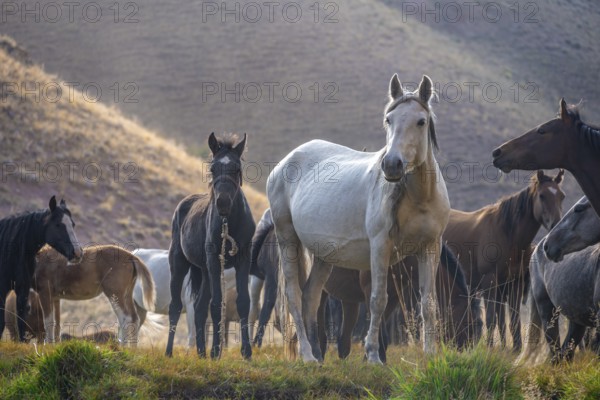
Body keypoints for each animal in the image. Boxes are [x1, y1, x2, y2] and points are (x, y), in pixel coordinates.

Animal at [166, 132, 255, 360]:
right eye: (213, 168)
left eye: (237, 169)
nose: (223, 203)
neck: (229, 223)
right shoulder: (215, 262)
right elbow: (216, 305)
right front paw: (216, 351)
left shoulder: (243, 260)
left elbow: (243, 302)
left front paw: (246, 351)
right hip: (179, 265)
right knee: (175, 307)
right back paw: (170, 352)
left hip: (204, 271)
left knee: (198, 309)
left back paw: (201, 353)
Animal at [268, 74, 450, 362]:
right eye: (389, 119)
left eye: (421, 121)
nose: (391, 165)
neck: (420, 198)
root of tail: (285, 162)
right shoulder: (380, 247)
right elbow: (377, 300)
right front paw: (373, 356)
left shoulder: (430, 247)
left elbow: (428, 304)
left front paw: (430, 355)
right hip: (287, 238)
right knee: (295, 295)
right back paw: (307, 355)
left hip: (323, 255)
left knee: (311, 296)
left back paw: (317, 357)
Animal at [442, 170, 564, 352]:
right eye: (542, 196)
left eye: (562, 196)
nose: (556, 225)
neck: (506, 233)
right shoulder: (490, 282)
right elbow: (491, 318)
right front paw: (489, 348)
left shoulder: (514, 283)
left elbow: (513, 319)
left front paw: (516, 348)